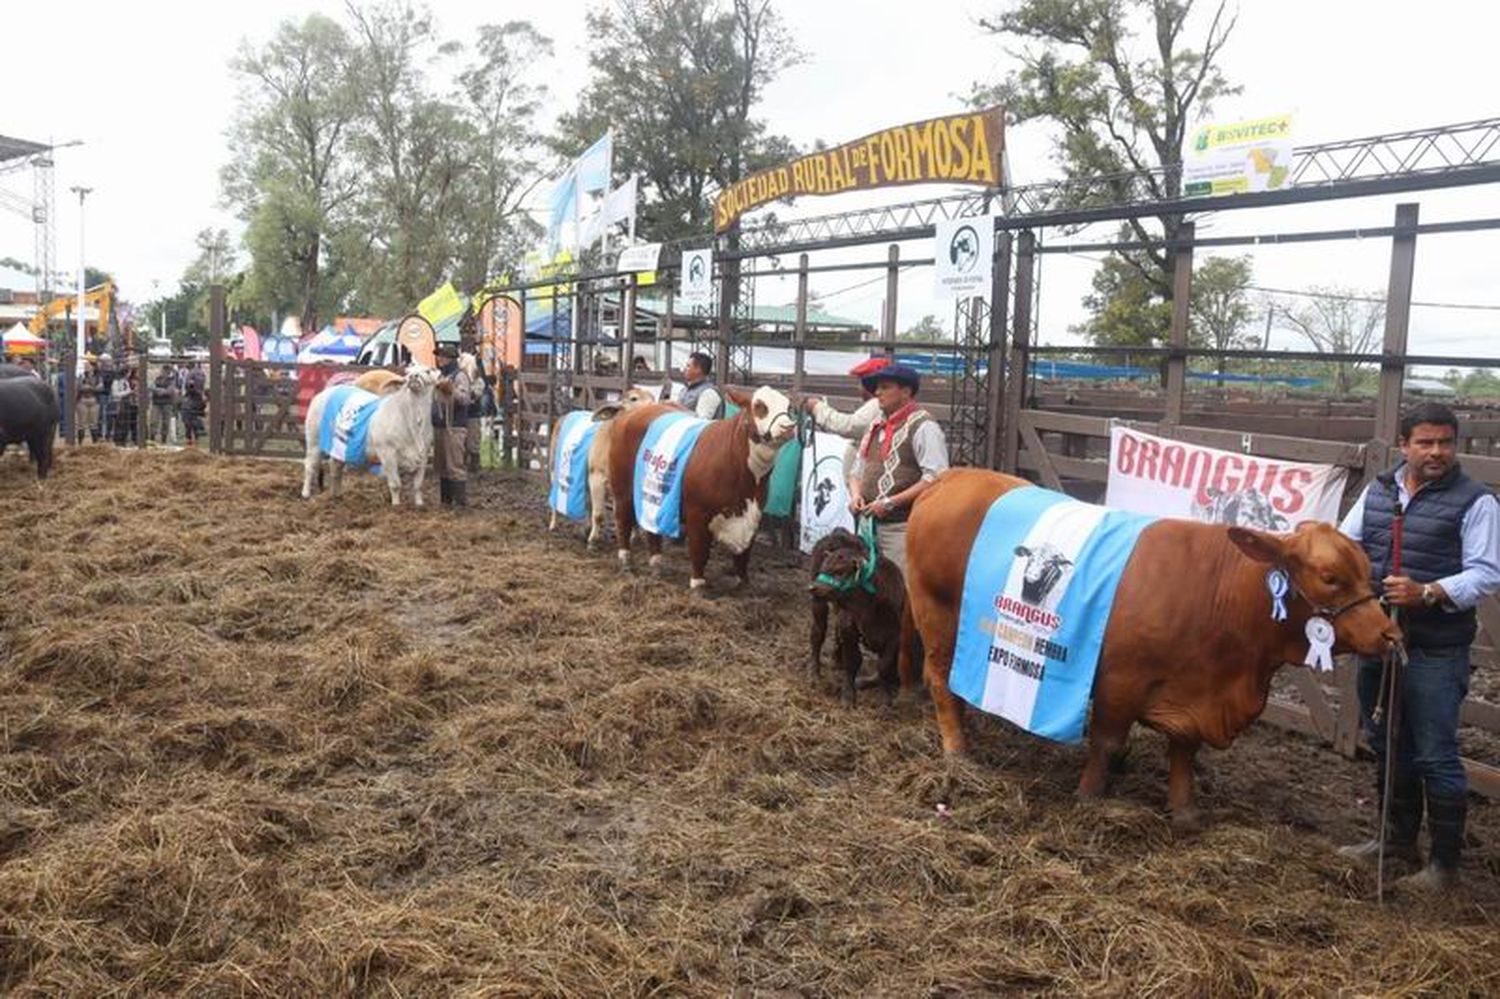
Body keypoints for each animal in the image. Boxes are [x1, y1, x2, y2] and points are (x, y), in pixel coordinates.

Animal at [301, 364, 441, 507]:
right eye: (408, 373)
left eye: (428, 371)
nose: (413, 377)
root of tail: (324, 393)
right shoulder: (387, 453)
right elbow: (395, 484)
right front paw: (396, 505)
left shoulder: (423, 455)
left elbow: (418, 484)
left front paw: (419, 504)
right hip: (314, 440)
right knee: (310, 465)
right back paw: (306, 493)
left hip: (338, 446)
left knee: (335, 467)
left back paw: (337, 494)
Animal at [606, 384, 804, 588]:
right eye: (759, 405)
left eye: (788, 407)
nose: (788, 427)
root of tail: (633, 413)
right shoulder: (697, 513)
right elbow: (699, 550)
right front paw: (698, 583)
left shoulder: (754, 515)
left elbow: (743, 556)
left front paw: (743, 583)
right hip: (622, 489)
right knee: (623, 519)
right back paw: (626, 560)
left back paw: (656, 563)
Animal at [900, 468, 1404, 822]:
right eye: (1330, 577)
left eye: (1368, 570)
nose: (1389, 634)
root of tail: (951, 477)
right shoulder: (1120, 679)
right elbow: (1107, 741)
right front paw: (1090, 795)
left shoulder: (1193, 695)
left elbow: (1183, 750)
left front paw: (1184, 809)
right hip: (935, 613)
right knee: (940, 679)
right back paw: (958, 746)